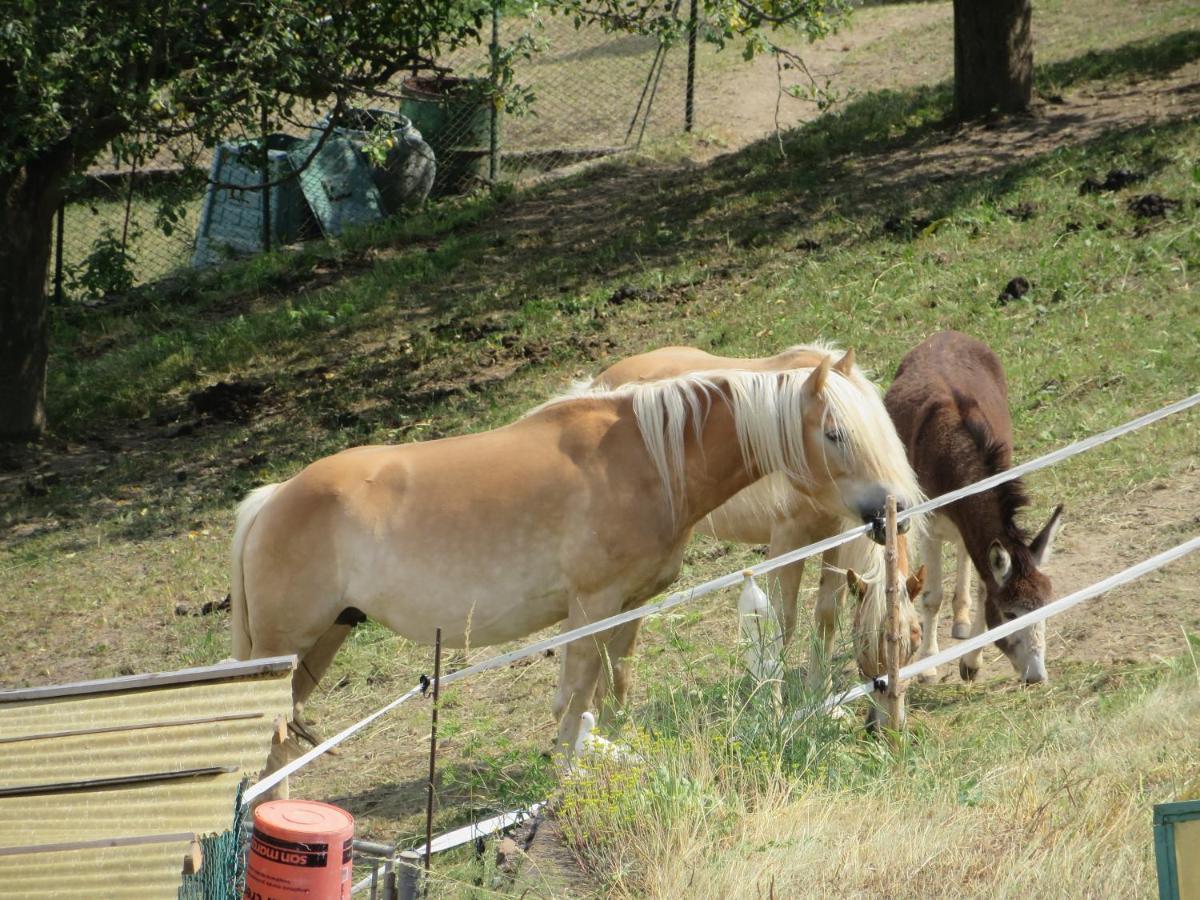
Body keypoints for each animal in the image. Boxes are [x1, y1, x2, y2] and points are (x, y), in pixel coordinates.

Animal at [590, 345, 926, 705]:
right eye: (865, 643)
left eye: (915, 638)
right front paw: (772, 702)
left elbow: (827, 615)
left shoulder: (836, 540)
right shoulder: (787, 540)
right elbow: (781, 623)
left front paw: (819, 697)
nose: (888, 708)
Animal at [888, 331, 1065, 681]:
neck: (955, 456)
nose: (1037, 676)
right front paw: (929, 665)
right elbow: (932, 597)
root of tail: (947, 333)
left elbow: (984, 587)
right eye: (1011, 615)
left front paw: (971, 662)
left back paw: (961, 618)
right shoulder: (928, 527)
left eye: (1045, 609)